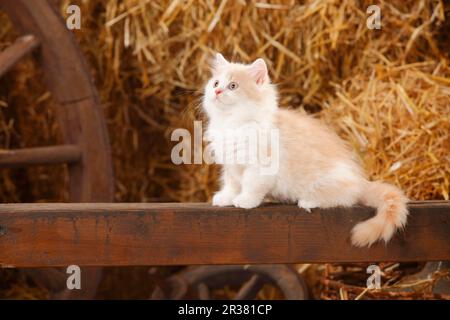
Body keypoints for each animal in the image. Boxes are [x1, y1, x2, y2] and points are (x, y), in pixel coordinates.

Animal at [202, 53, 410, 248]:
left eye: (233, 86)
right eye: (216, 83)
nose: (217, 91)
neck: (231, 122)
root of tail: (361, 180)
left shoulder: (260, 167)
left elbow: (252, 185)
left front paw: (245, 200)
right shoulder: (230, 165)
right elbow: (231, 183)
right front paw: (226, 198)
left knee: (346, 198)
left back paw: (308, 201)